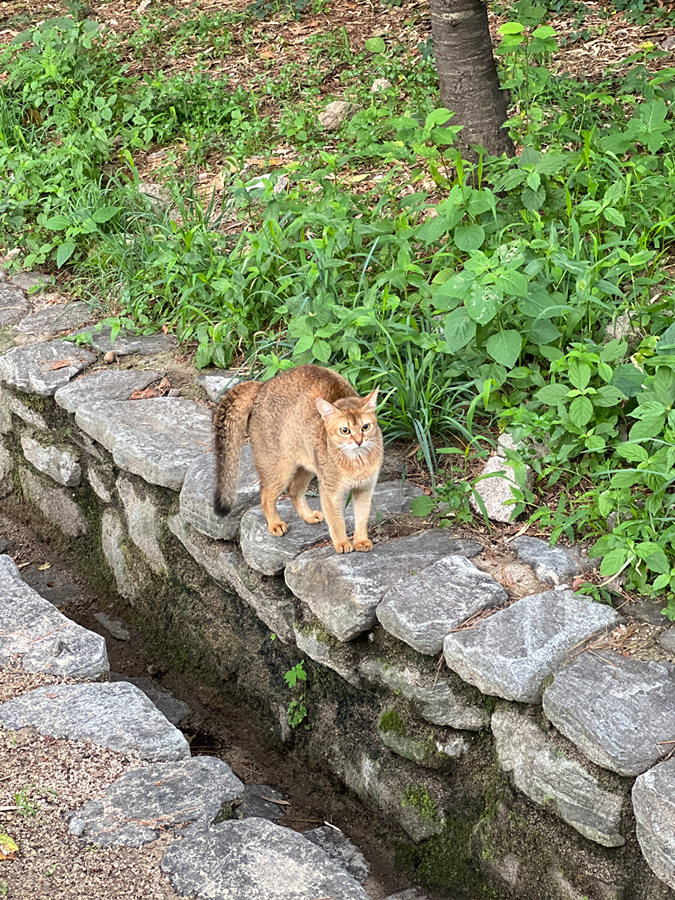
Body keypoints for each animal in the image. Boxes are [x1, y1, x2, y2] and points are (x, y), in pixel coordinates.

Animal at [217, 362, 386, 552]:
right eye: (345, 430)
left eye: (365, 427)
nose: (359, 441)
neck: (357, 462)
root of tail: (263, 386)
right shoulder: (330, 491)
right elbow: (336, 521)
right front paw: (342, 542)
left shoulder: (365, 488)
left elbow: (362, 517)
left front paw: (361, 540)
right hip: (280, 469)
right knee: (266, 495)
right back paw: (275, 524)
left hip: (307, 465)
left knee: (293, 491)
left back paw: (308, 516)